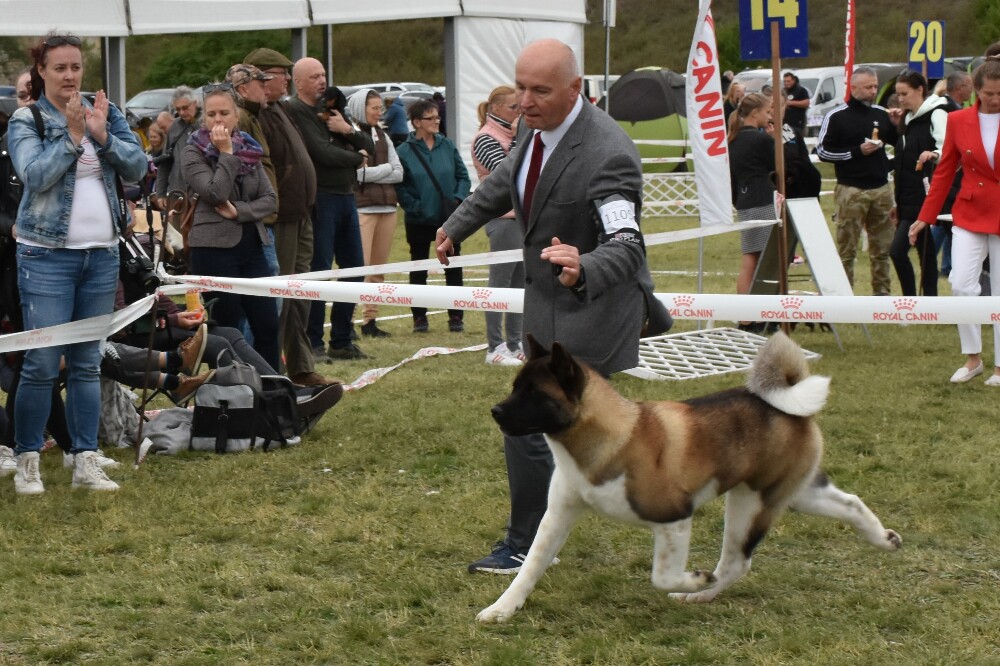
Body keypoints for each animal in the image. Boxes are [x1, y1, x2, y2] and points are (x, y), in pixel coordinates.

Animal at [478, 332, 901, 623]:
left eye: (535, 394)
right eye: (516, 386)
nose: (495, 412)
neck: (612, 436)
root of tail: (784, 405)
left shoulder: (674, 518)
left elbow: (663, 576)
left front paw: (695, 579)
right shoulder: (557, 516)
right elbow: (530, 566)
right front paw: (502, 609)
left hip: (751, 504)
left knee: (736, 564)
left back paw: (700, 593)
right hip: (791, 492)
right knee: (850, 503)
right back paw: (883, 539)